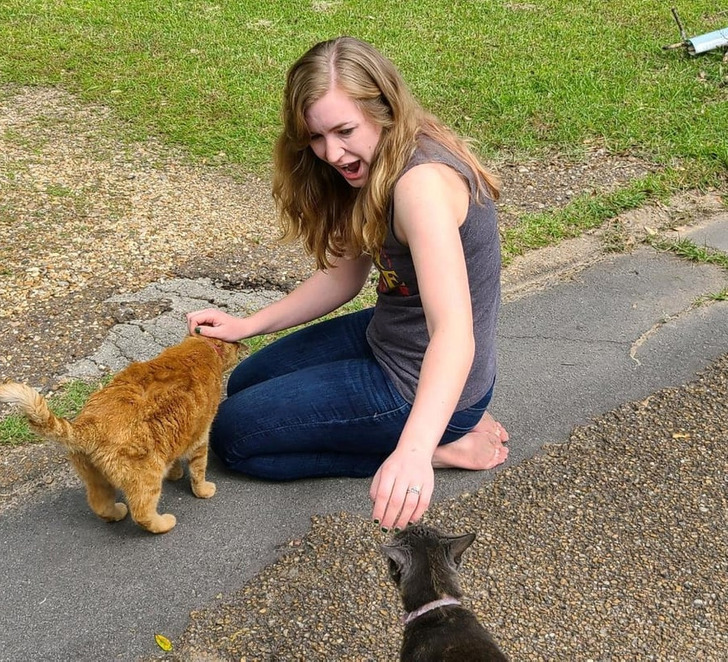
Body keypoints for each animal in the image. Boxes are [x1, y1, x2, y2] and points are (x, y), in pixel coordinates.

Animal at [0, 334, 242, 534]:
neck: (201, 346)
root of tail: (89, 425)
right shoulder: (200, 437)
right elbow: (198, 471)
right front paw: (202, 489)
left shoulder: (177, 435)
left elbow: (174, 459)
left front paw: (175, 473)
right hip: (146, 477)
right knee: (142, 513)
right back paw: (164, 523)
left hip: (96, 478)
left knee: (100, 504)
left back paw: (116, 513)